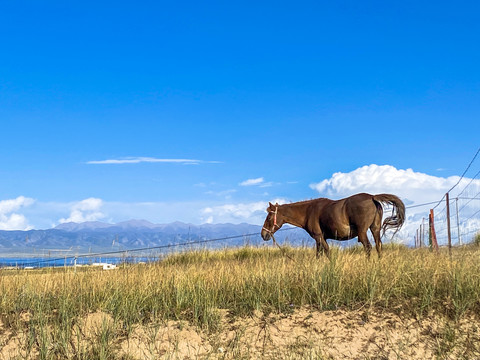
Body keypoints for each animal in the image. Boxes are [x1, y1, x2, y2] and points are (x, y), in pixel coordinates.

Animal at [262, 193, 404, 258]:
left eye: (269, 217)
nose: (263, 234)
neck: (308, 211)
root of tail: (372, 197)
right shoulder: (320, 240)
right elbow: (319, 255)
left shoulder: (319, 237)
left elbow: (327, 252)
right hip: (375, 229)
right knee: (379, 246)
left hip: (362, 232)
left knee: (368, 247)